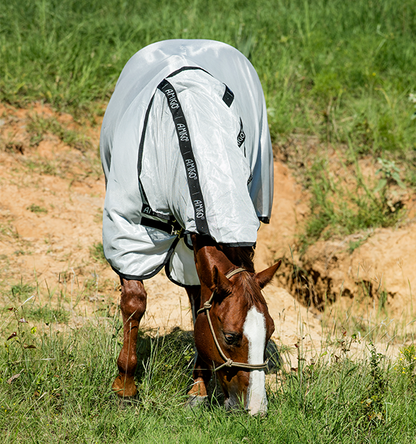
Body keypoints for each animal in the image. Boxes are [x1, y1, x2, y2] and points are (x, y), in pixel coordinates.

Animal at [101, 39, 282, 416]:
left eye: (270, 332)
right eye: (230, 336)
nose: (257, 408)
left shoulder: (196, 238)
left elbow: (199, 300)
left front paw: (198, 387)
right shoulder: (130, 229)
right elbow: (134, 302)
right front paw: (125, 386)